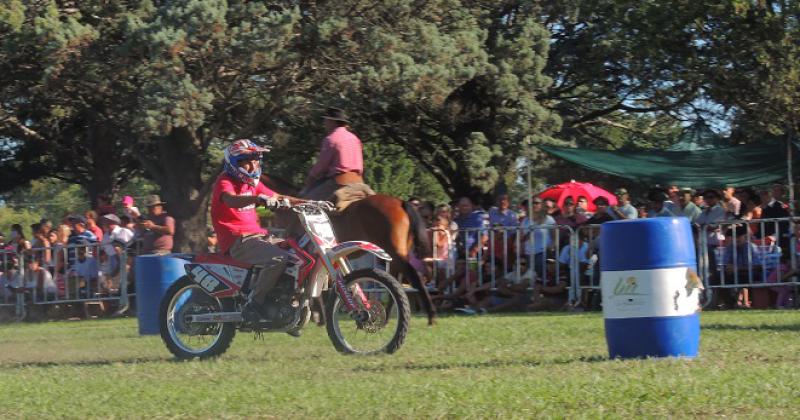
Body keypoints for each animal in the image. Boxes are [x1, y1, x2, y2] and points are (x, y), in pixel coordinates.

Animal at [260, 174, 438, 324]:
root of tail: (401, 203)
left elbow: (316, 287)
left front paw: (318, 316)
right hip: (396, 256)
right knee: (398, 279)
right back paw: (389, 316)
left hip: (396, 253)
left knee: (413, 277)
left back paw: (430, 315)